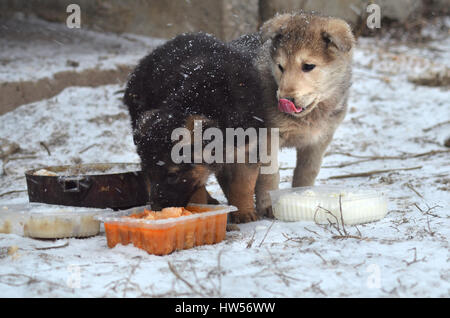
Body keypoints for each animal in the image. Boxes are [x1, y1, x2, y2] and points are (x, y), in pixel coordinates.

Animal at [124, 31, 264, 221]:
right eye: (149, 173)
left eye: (173, 175)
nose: (156, 209)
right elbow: (198, 189)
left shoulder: (249, 146)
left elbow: (242, 184)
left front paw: (244, 213)